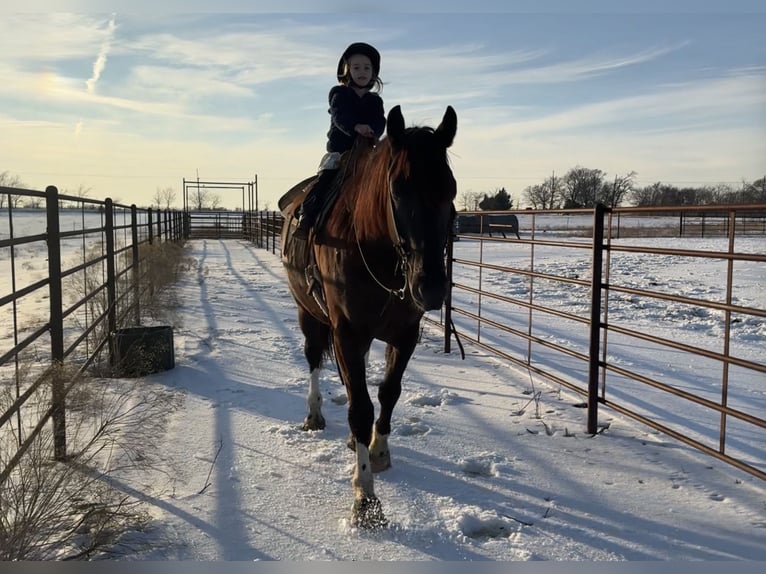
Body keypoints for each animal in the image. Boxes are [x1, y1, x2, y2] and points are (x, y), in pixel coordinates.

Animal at [279, 105, 457, 528]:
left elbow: (388, 392)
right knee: (314, 358)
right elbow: (360, 408)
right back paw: (314, 415)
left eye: (451, 189)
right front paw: (365, 498)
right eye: (398, 190)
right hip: (309, 315)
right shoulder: (345, 332)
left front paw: (377, 452)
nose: (431, 287)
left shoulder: (405, 333)